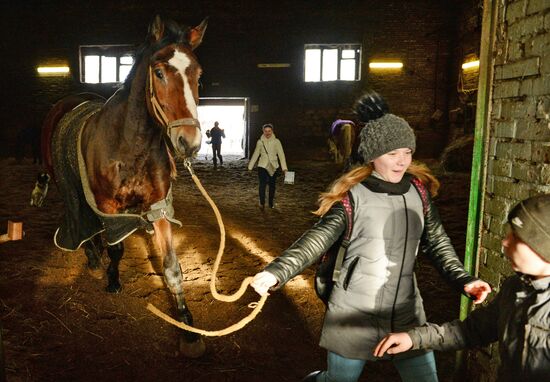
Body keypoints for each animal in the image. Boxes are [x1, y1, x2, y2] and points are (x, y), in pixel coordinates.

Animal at [37, 14, 208, 356]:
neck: (130, 145)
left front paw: (187, 326)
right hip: (67, 186)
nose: (189, 142)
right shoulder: (108, 206)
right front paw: (112, 279)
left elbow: (172, 267)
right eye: (159, 72)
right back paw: (92, 257)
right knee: (78, 218)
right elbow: (116, 248)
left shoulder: (158, 207)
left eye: (197, 74)